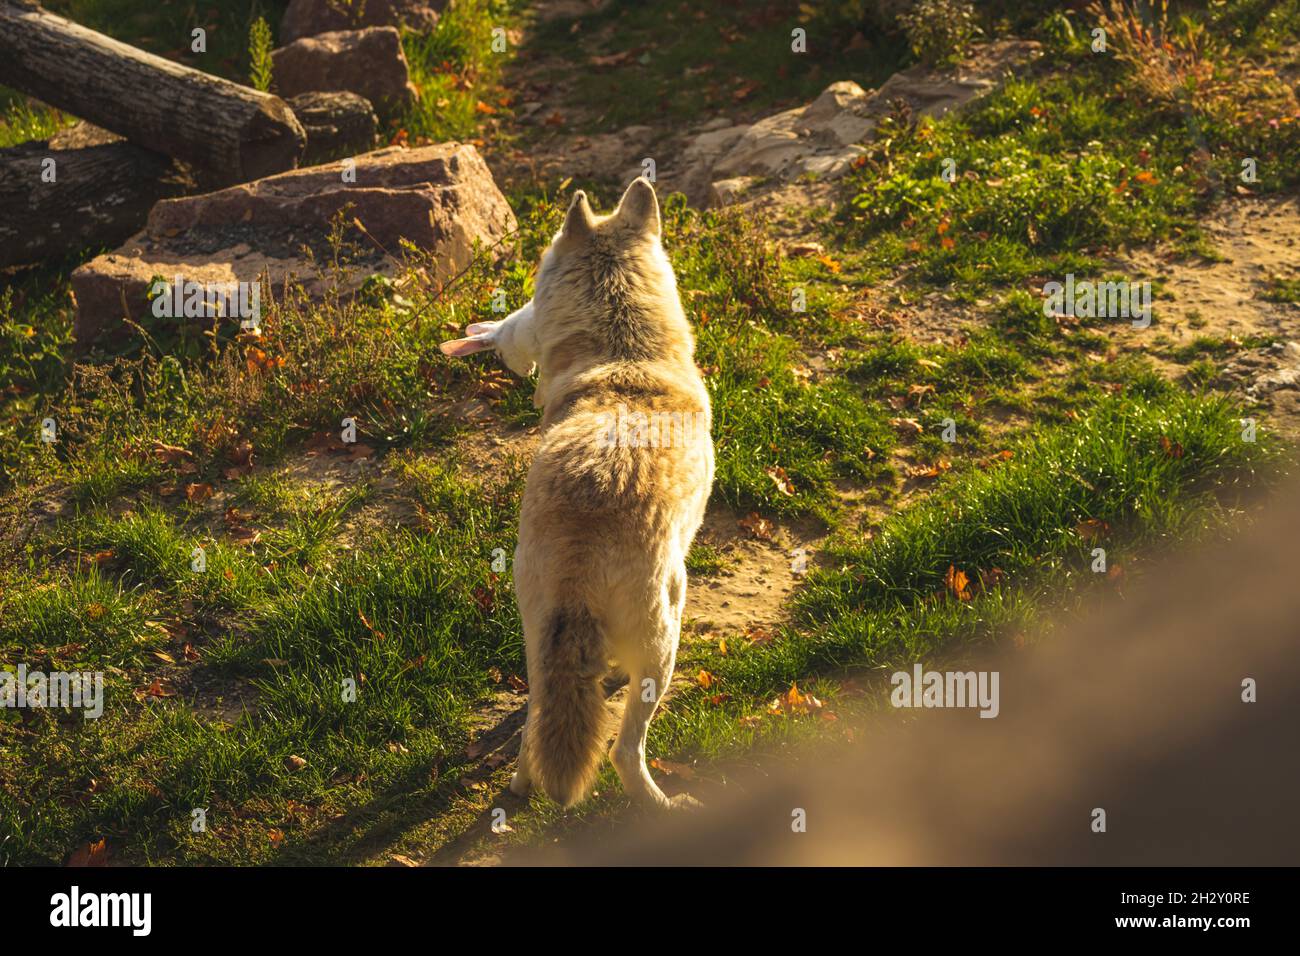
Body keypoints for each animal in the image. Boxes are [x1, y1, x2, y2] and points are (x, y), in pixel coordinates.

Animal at [440, 178, 714, 809]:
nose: (491, 331)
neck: (623, 352)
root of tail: (580, 557)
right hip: (668, 636)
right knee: (623, 752)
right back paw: (666, 805)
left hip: (536, 648)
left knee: (534, 734)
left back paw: (519, 790)